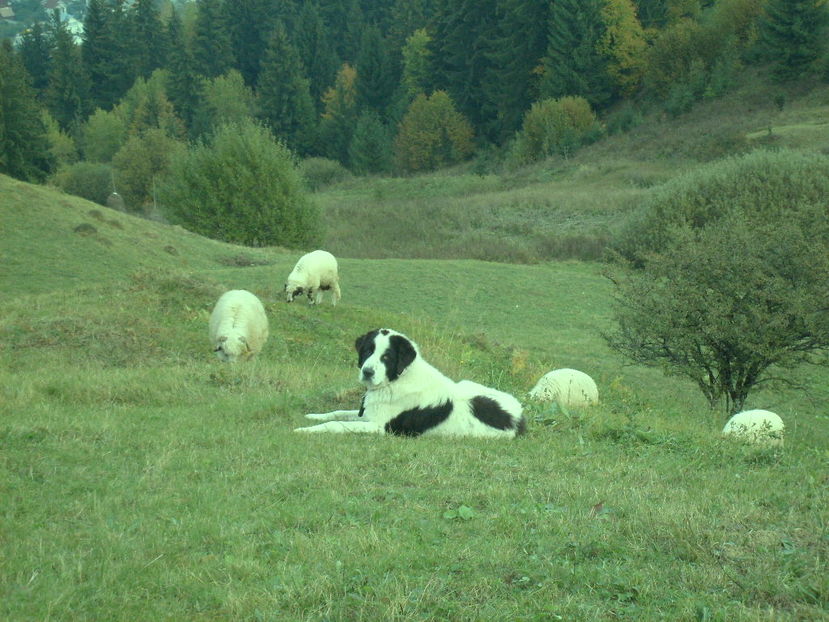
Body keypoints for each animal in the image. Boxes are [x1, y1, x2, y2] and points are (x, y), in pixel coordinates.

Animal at [294, 332, 524, 438]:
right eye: (368, 351)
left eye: (387, 357)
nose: (367, 372)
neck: (398, 379)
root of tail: (520, 416)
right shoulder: (368, 414)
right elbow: (338, 413)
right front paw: (313, 416)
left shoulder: (379, 427)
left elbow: (336, 423)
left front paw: (305, 429)